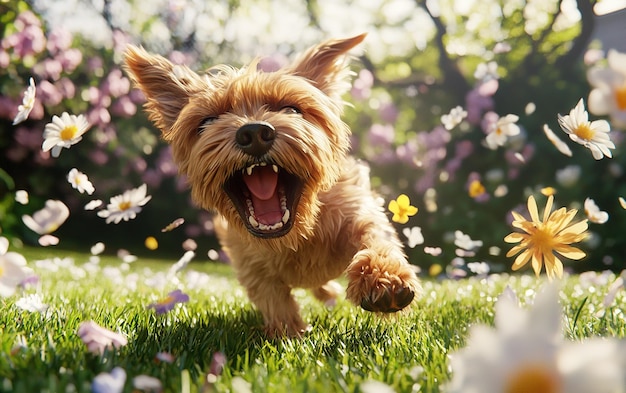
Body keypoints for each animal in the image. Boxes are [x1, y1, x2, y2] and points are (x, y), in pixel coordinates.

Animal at [123, 33, 420, 336]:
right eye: (208, 121)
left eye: (291, 109)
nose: (254, 132)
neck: (296, 236)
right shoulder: (250, 264)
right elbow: (272, 297)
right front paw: (290, 334)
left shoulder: (355, 208)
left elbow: (374, 234)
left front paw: (383, 277)